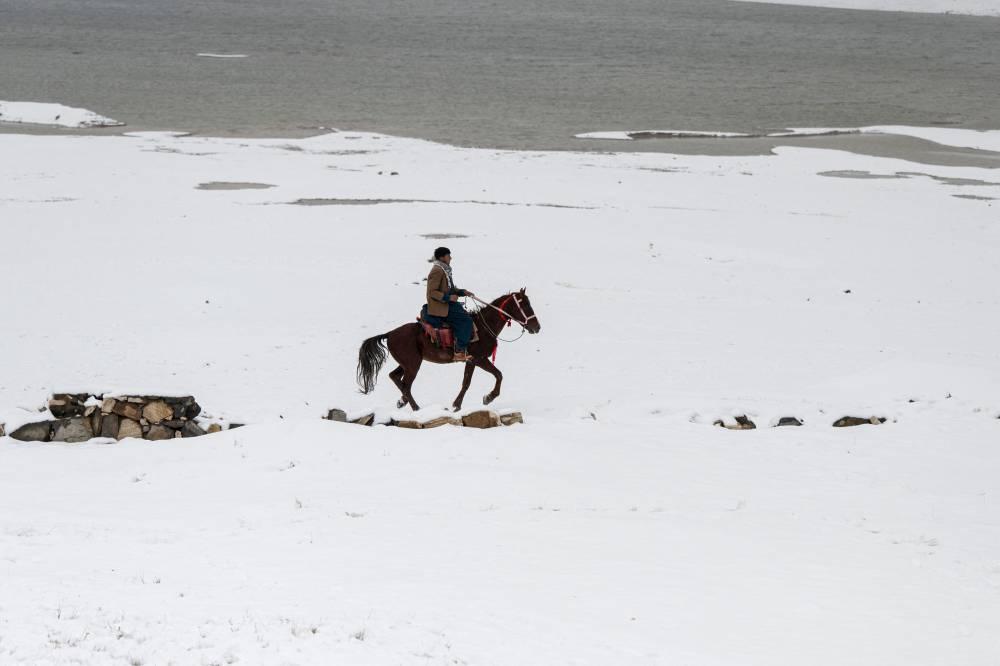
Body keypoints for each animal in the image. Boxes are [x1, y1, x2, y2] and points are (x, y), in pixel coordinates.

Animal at [356, 289, 541, 411]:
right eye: (525, 305)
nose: (536, 327)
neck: (483, 327)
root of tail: (390, 333)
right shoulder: (478, 359)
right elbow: (494, 376)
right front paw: (486, 398)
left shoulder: (471, 361)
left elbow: (470, 381)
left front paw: (459, 404)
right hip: (413, 364)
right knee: (406, 385)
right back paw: (415, 408)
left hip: (407, 363)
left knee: (395, 377)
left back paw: (402, 402)